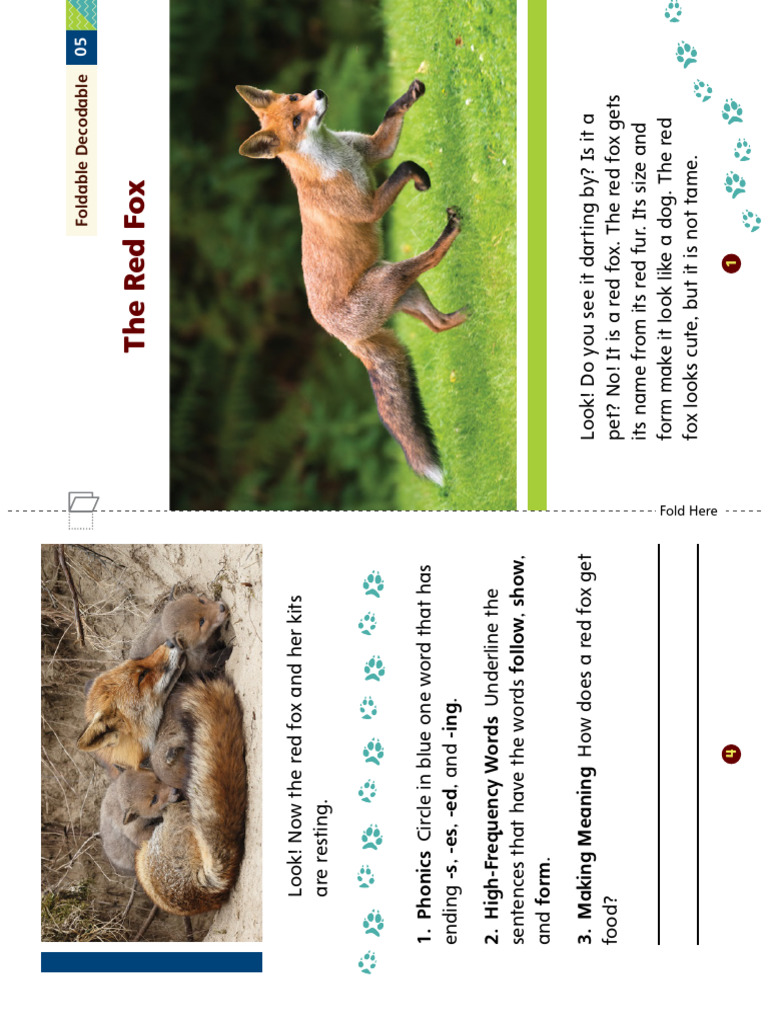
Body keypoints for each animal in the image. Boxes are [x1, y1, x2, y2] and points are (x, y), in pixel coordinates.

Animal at [236, 79, 466, 484]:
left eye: (294, 98)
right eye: (296, 121)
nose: (318, 93)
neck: (336, 160)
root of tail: (340, 336)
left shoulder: (372, 149)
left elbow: (391, 122)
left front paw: (411, 93)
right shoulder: (369, 207)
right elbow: (403, 167)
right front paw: (421, 177)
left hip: (404, 291)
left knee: (438, 325)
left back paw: (468, 316)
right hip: (395, 276)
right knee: (428, 263)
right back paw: (448, 235)